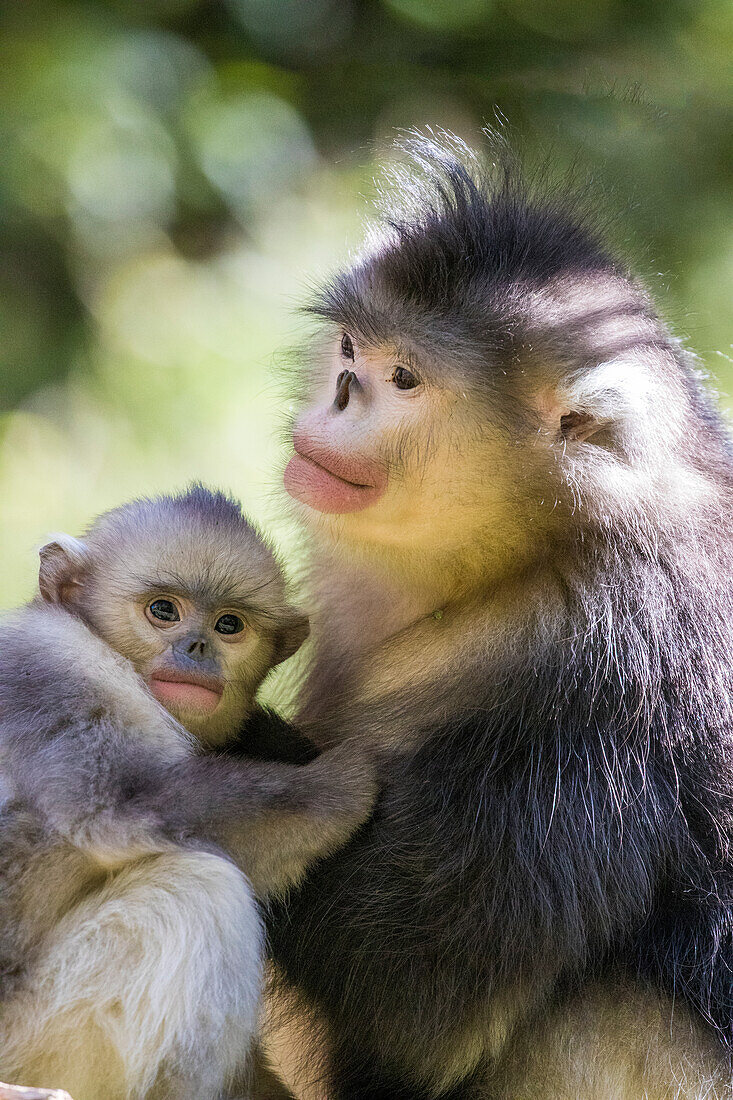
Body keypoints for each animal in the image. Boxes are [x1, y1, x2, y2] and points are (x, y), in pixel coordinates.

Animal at [0, 488, 372, 1100]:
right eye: (163, 611)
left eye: (229, 624)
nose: (197, 647)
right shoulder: (48, 664)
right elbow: (118, 804)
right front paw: (345, 779)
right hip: (33, 1039)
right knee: (200, 887)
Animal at [268, 133, 730, 1095]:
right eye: (350, 349)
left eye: (403, 378)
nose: (340, 393)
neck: (550, 544)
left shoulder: (595, 680)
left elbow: (415, 1000)